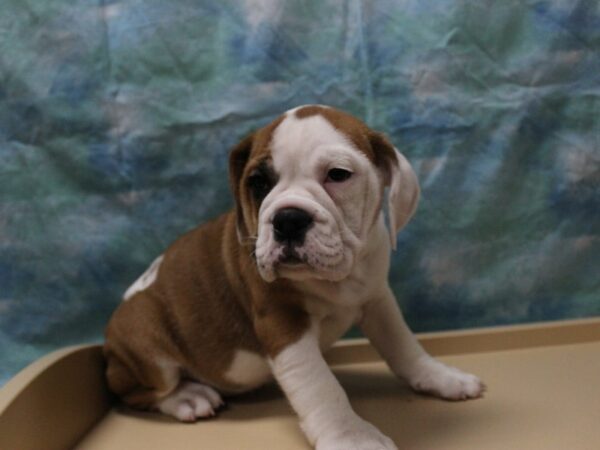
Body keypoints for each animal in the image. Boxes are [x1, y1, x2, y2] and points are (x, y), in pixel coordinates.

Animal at [104, 106, 482, 450]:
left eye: (338, 174)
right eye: (258, 183)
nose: (287, 219)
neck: (341, 276)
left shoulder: (377, 299)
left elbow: (403, 344)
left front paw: (440, 377)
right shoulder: (283, 323)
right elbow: (321, 386)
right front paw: (351, 437)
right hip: (145, 340)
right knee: (137, 392)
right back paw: (188, 397)